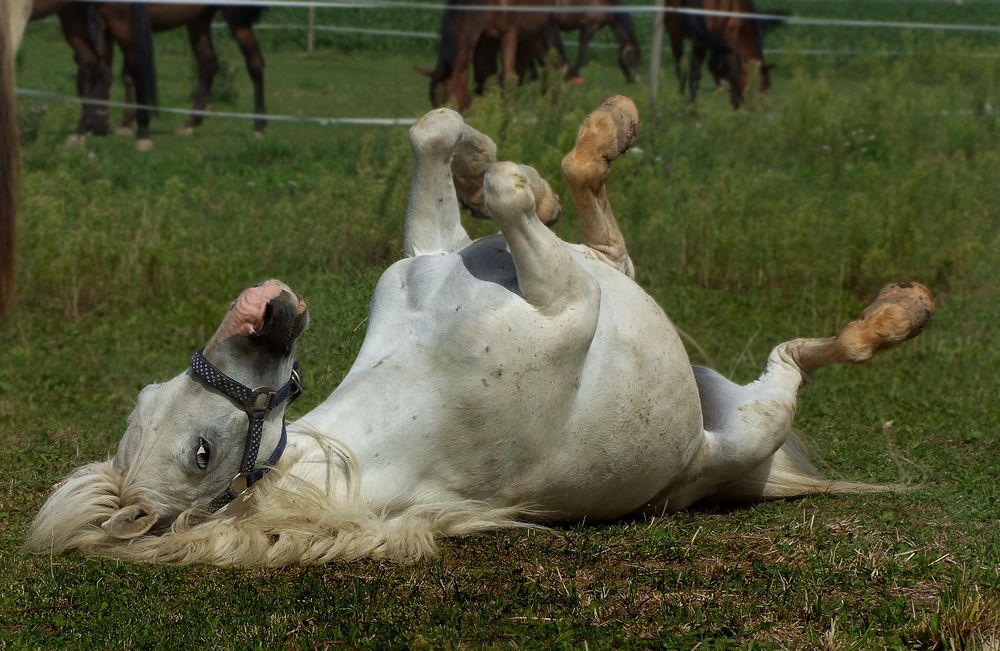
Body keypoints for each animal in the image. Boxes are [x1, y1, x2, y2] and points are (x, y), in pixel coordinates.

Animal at [23, 97, 932, 564]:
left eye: (155, 394)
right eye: (203, 456)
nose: (266, 309)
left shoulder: (435, 254)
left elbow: (438, 129)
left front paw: (491, 161)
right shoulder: (567, 305)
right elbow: (504, 191)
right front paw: (512, 176)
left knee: (611, 238)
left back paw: (607, 126)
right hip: (748, 425)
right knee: (798, 359)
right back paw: (902, 309)